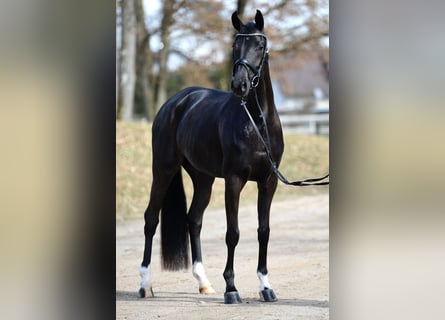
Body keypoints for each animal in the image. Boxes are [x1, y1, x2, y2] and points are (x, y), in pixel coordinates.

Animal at [139, 10, 282, 304]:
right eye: (235, 45)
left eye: (259, 45)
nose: (239, 85)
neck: (257, 123)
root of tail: (174, 103)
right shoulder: (234, 180)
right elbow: (233, 233)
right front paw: (231, 288)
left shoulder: (268, 182)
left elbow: (263, 231)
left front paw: (265, 285)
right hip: (163, 170)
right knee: (151, 219)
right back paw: (145, 284)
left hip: (203, 179)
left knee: (193, 219)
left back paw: (203, 282)